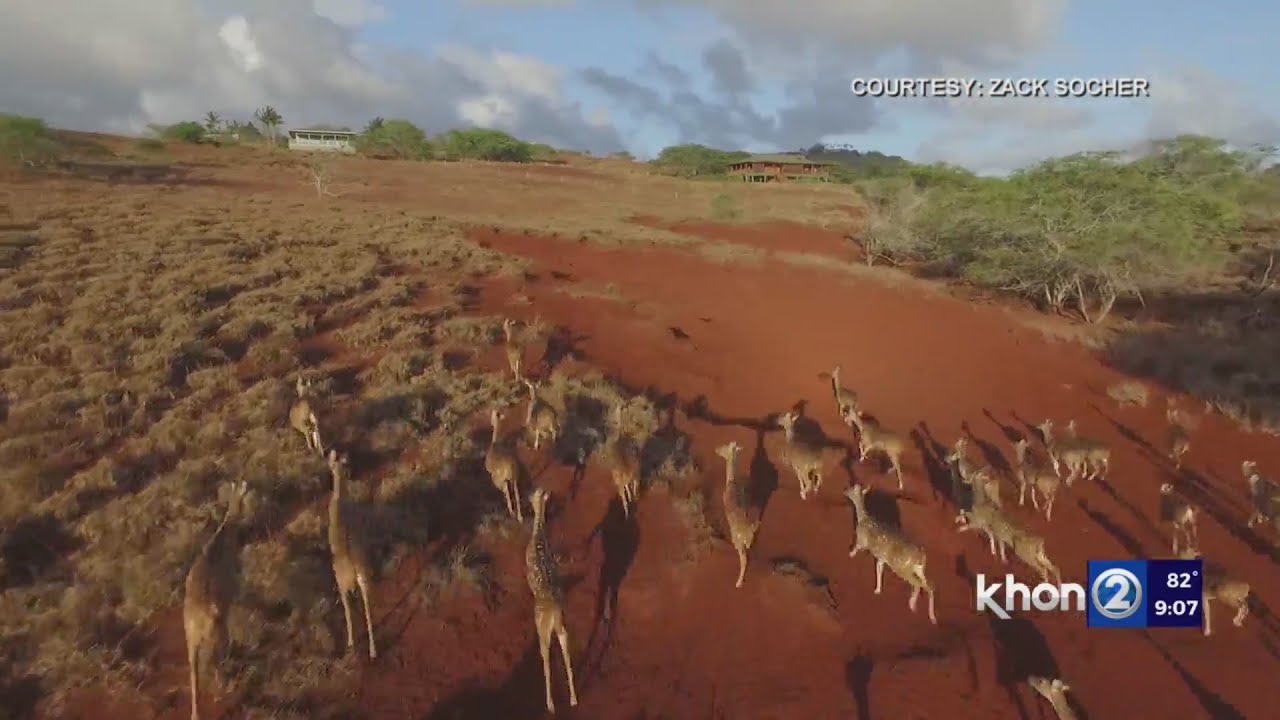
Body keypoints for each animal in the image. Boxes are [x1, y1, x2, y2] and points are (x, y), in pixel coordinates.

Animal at [184, 481, 248, 720]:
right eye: (241, 498)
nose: (242, 515)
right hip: (215, 637)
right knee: (214, 664)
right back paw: (226, 688)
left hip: (191, 642)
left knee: (194, 673)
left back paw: (196, 714)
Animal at [716, 441, 760, 588]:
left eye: (724, 448)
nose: (716, 449)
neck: (732, 481)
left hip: (739, 545)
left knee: (744, 560)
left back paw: (738, 583)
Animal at [845, 485, 936, 623]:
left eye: (852, 488)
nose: (844, 491)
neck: (863, 518)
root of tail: (921, 557)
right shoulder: (881, 558)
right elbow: (879, 571)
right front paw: (877, 590)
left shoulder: (862, 540)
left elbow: (856, 547)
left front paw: (850, 554)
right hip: (919, 570)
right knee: (930, 586)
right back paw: (932, 617)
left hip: (902, 568)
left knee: (917, 584)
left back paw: (912, 605)